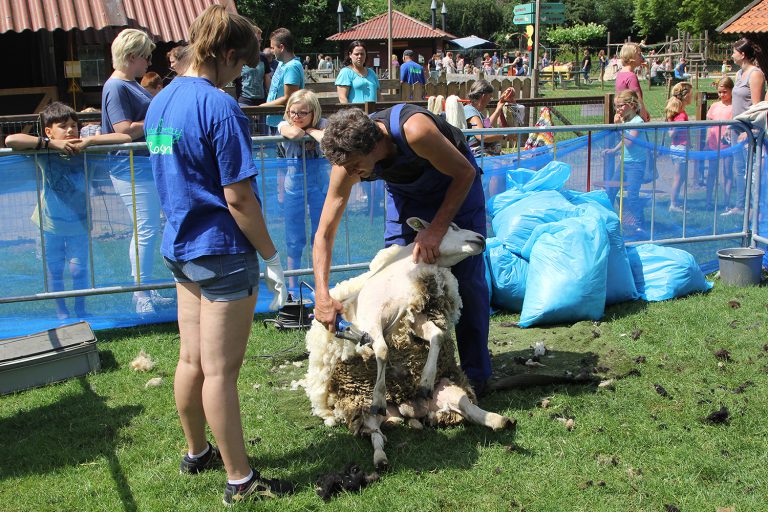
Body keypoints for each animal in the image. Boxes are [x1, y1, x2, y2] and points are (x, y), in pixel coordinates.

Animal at [304, 218, 512, 470]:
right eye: (452, 227)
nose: (481, 239)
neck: (400, 273)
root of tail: (405, 410)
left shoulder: (412, 317)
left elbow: (436, 335)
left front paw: (425, 380)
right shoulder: (372, 319)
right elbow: (383, 350)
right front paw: (379, 395)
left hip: (449, 392)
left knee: (469, 409)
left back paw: (499, 420)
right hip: (361, 407)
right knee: (375, 435)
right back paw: (380, 457)